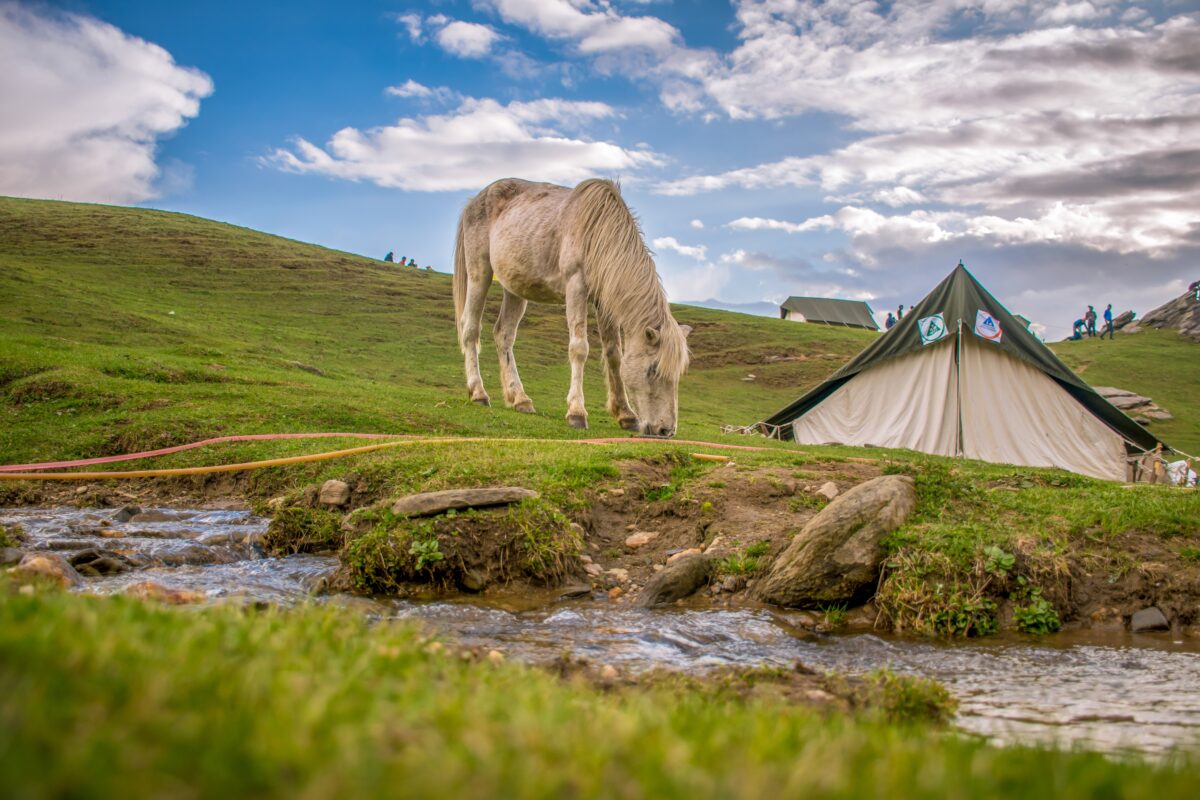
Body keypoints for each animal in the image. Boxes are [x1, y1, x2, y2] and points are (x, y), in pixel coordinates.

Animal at [451, 178, 696, 438]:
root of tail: (474, 201)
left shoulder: (603, 301)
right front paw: (577, 412)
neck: (597, 230)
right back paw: (478, 393)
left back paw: (520, 399)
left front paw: (625, 414)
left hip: (515, 288)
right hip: (480, 273)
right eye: (653, 370)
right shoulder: (575, 286)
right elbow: (579, 349)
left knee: (504, 335)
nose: (666, 430)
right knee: (471, 329)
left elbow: (614, 354)